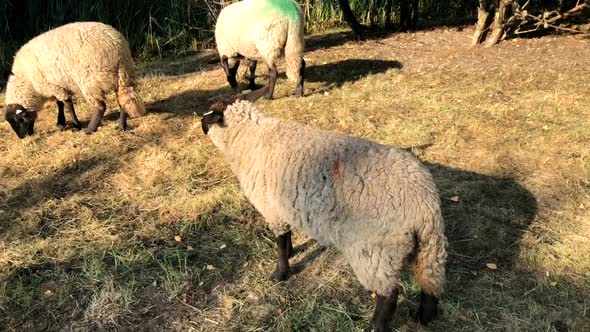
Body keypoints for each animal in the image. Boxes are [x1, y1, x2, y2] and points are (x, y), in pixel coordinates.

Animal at [3, 21, 146, 139]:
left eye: (19, 121)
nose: (23, 137)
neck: (28, 82)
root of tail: (119, 50)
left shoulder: (53, 86)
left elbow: (68, 105)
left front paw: (76, 125)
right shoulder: (57, 85)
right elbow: (60, 104)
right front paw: (61, 123)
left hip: (91, 81)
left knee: (101, 107)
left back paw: (90, 129)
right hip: (123, 77)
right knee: (123, 101)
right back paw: (122, 126)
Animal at [201, 88, 450, 332]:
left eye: (211, 112)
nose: (201, 124)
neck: (250, 138)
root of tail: (425, 204)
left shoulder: (272, 209)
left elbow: (280, 241)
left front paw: (280, 273)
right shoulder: (284, 207)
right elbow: (288, 234)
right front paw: (292, 252)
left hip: (375, 252)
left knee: (388, 295)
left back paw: (374, 327)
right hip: (427, 249)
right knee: (430, 281)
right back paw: (425, 317)